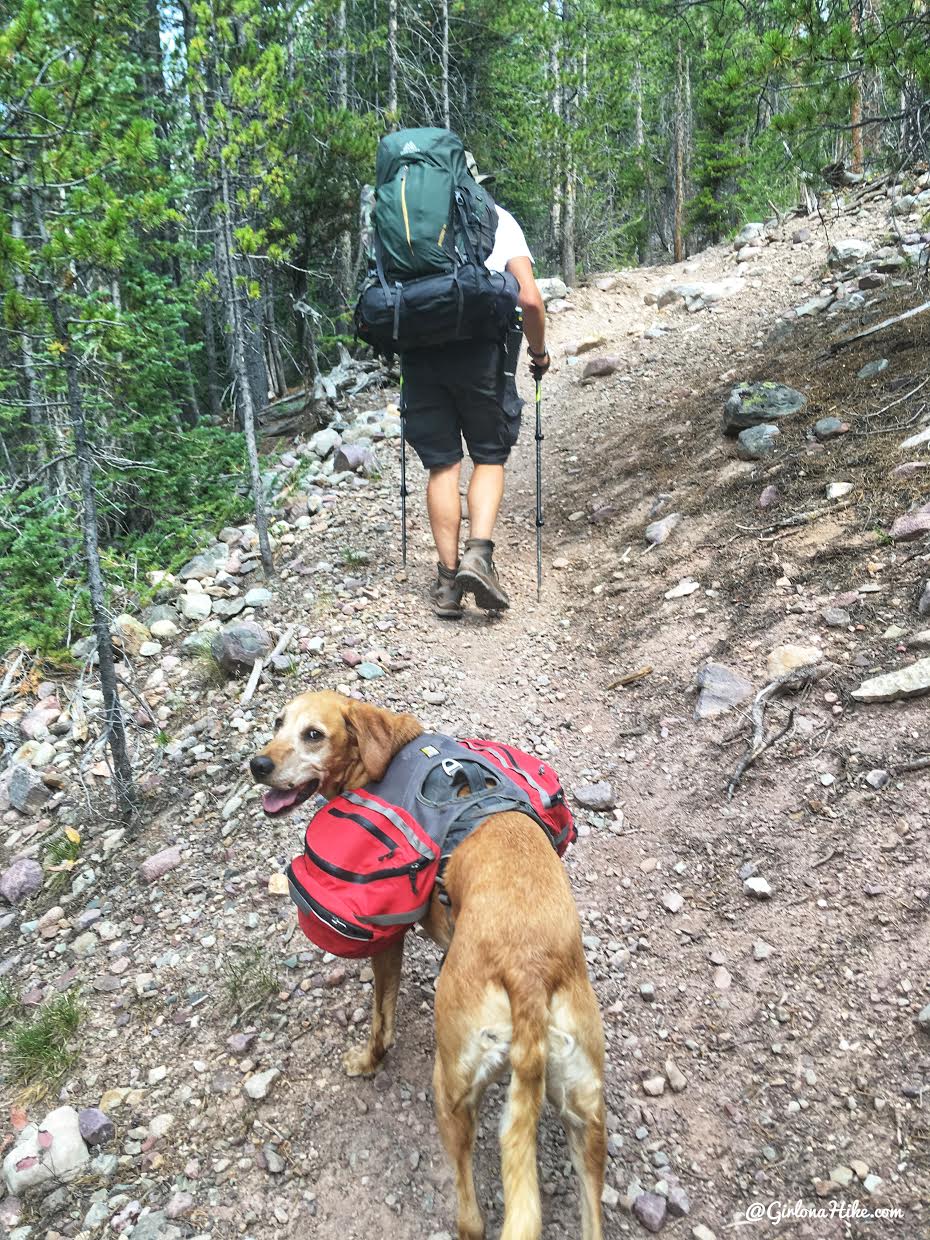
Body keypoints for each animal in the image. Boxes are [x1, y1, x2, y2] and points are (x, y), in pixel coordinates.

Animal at [251, 689, 607, 1240]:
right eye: (277, 722)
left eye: (314, 734)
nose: (257, 764)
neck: (387, 752)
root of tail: (528, 973)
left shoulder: (387, 941)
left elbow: (382, 1017)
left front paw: (368, 1061)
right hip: (585, 1115)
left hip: (451, 1091)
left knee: (472, 1219)